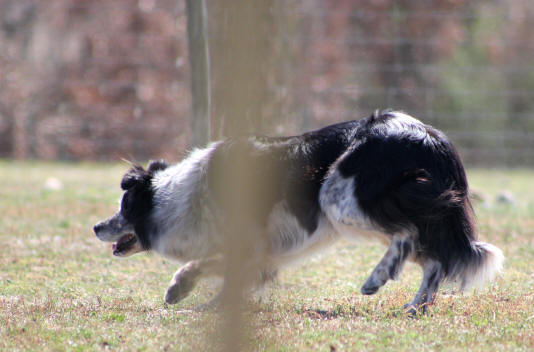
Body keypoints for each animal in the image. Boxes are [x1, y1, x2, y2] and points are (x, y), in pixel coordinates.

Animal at [94, 110, 504, 314]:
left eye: (123, 207)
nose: (97, 227)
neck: (177, 197)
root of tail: (432, 137)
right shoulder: (262, 250)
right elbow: (221, 268)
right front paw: (195, 296)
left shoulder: (252, 241)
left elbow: (218, 269)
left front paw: (193, 298)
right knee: (433, 261)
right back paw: (414, 307)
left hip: (342, 198)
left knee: (406, 237)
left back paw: (376, 279)